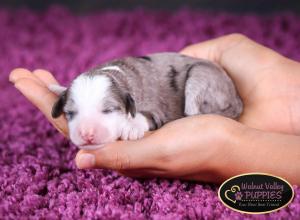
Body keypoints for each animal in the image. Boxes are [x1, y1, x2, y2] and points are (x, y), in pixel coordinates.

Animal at [48, 52, 241, 150]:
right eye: (70, 113)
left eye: (108, 110)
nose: (87, 134)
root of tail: (236, 98)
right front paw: (56, 87)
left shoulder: (156, 109)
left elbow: (146, 115)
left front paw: (131, 127)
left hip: (201, 75)